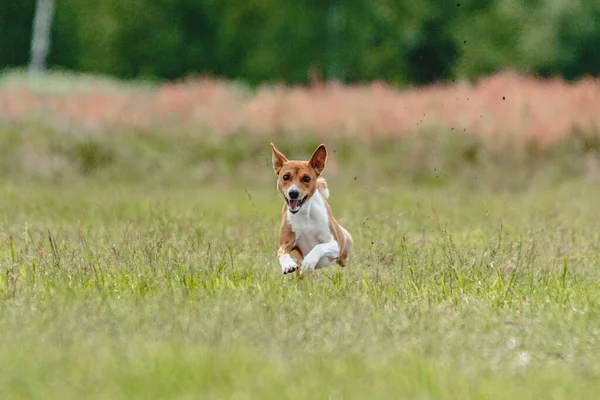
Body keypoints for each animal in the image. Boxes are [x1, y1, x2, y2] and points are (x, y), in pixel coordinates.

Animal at [270, 144, 352, 278]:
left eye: (306, 178)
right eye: (286, 176)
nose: (293, 193)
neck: (304, 215)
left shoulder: (334, 244)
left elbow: (319, 247)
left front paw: (309, 261)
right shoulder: (286, 242)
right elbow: (281, 252)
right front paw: (287, 264)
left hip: (344, 248)